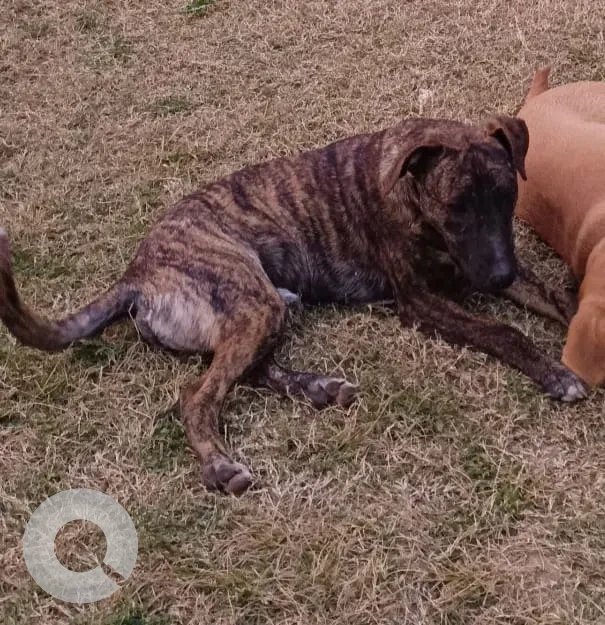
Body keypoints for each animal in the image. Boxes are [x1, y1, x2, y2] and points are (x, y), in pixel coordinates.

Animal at [0, 116, 587, 495]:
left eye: (507, 196)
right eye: (457, 207)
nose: (498, 275)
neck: (409, 187)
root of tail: (137, 275)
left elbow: (561, 302)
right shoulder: (422, 301)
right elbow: (503, 332)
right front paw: (556, 374)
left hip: (265, 309)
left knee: (247, 369)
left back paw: (317, 388)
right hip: (252, 300)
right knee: (198, 395)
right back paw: (220, 466)